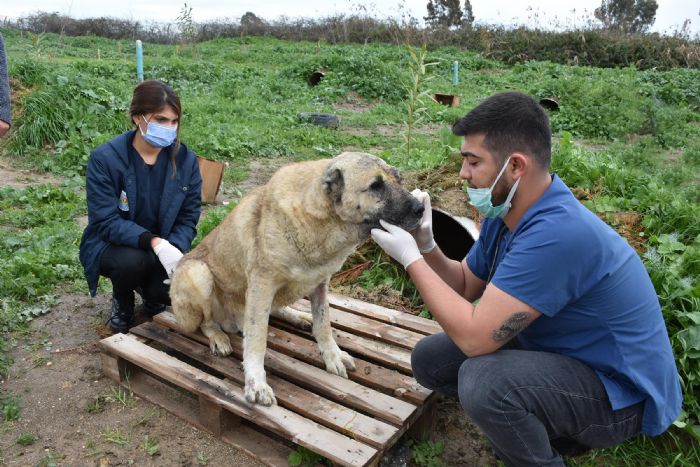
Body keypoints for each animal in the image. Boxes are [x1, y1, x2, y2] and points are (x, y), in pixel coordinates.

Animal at [171, 154, 422, 406]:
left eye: (399, 179)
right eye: (376, 185)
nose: (421, 208)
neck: (321, 222)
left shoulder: (320, 282)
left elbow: (324, 323)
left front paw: (333, 356)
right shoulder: (262, 284)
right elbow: (257, 338)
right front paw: (256, 382)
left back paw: (297, 316)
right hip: (198, 273)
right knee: (207, 323)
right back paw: (219, 337)